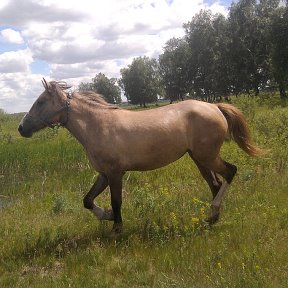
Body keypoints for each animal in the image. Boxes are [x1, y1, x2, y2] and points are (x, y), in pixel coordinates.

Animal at [18, 80, 266, 235]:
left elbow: (116, 201)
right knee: (215, 183)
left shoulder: (115, 173)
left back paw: (213, 212)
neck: (98, 126)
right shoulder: (104, 174)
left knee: (230, 172)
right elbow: (87, 200)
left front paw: (117, 228)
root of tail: (214, 107)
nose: (21, 128)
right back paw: (212, 218)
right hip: (200, 159)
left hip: (207, 156)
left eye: (40, 102)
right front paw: (107, 216)